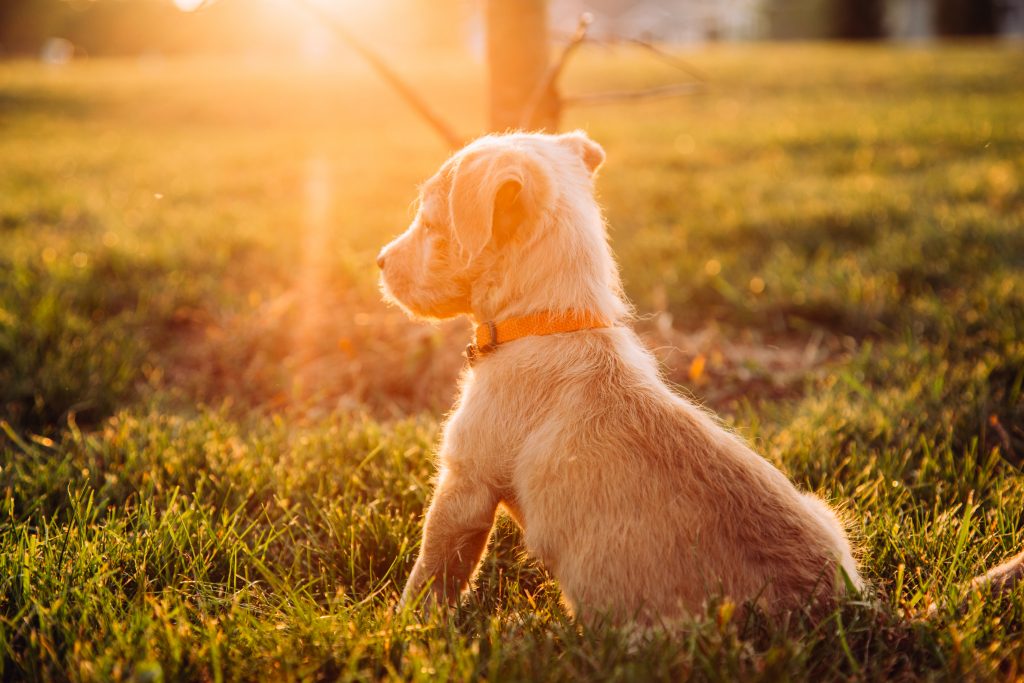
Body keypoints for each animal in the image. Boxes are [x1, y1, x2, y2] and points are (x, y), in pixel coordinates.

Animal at [378, 132, 1024, 626]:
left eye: (431, 224)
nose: (379, 261)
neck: (553, 318)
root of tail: (850, 615)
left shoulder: (465, 487)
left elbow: (431, 575)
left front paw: (403, 632)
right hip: (825, 513)